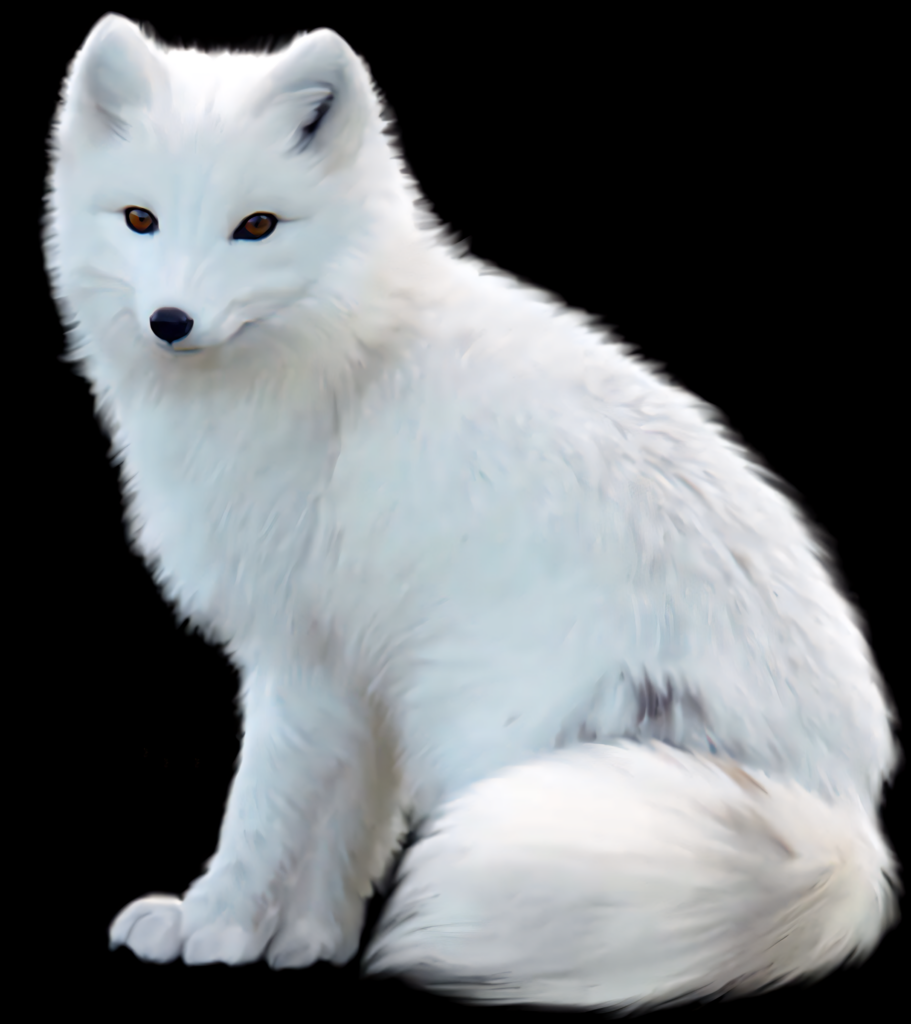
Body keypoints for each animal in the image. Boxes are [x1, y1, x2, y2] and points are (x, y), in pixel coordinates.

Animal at [43, 13, 900, 1012]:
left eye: (255, 227)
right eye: (139, 218)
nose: (170, 322)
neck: (344, 358)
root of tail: (847, 822)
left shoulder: (299, 659)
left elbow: (261, 814)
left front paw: (213, 926)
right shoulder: (358, 674)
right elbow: (345, 827)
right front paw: (310, 941)